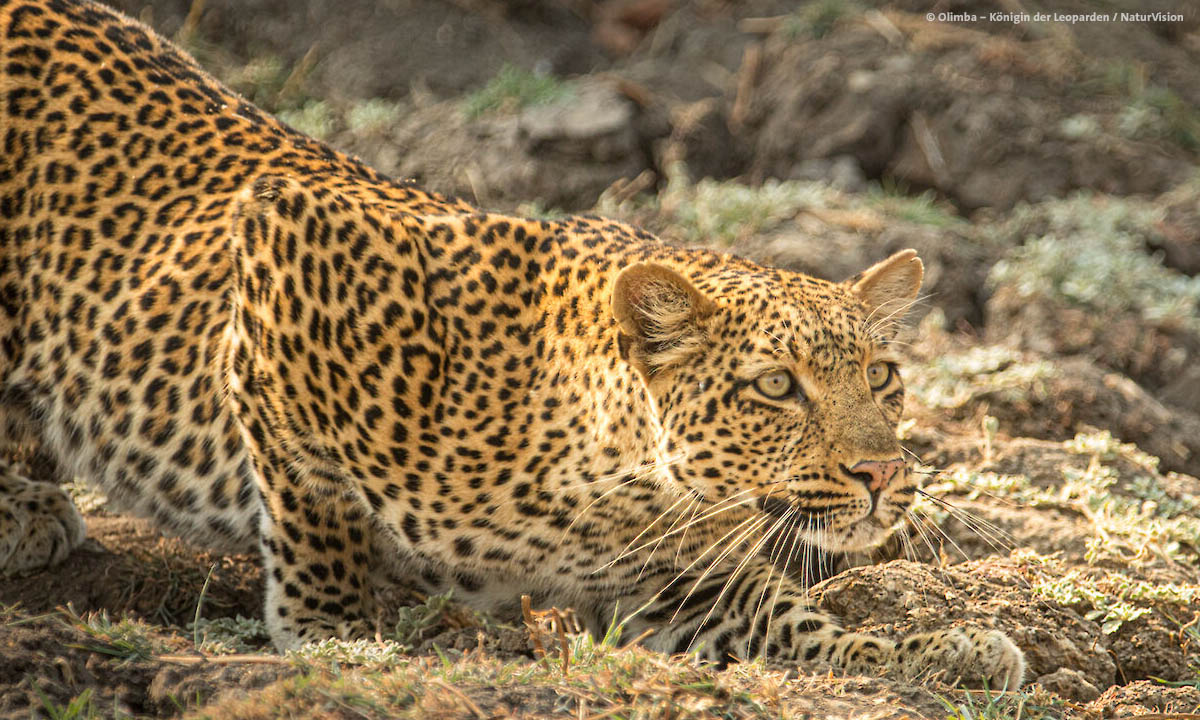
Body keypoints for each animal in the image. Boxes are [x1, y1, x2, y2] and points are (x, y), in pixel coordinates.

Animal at [0, 0, 1022, 691]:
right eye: (775, 386)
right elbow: (314, 503)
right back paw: (27, 510)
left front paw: (944, 652)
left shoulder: (689, 584)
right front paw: (334, 634)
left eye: (882, 377)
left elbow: (805, 627)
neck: (618, 491)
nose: (882, 474)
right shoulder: (285, 249)